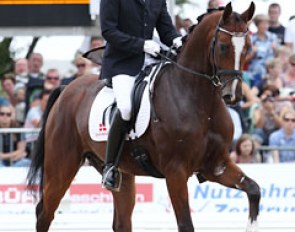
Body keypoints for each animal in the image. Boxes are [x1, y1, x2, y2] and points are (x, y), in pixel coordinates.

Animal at [26, 2, 260, 232]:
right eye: (223, 46)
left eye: (248, 47)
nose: (233, 95)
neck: (198, 100)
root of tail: (67, 88)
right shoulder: (176, 171)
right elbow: (186, 224)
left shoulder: (216, 165)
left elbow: (254, 189)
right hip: (61, 166)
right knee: (44, 213)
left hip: (122, 172)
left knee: (121, 222)